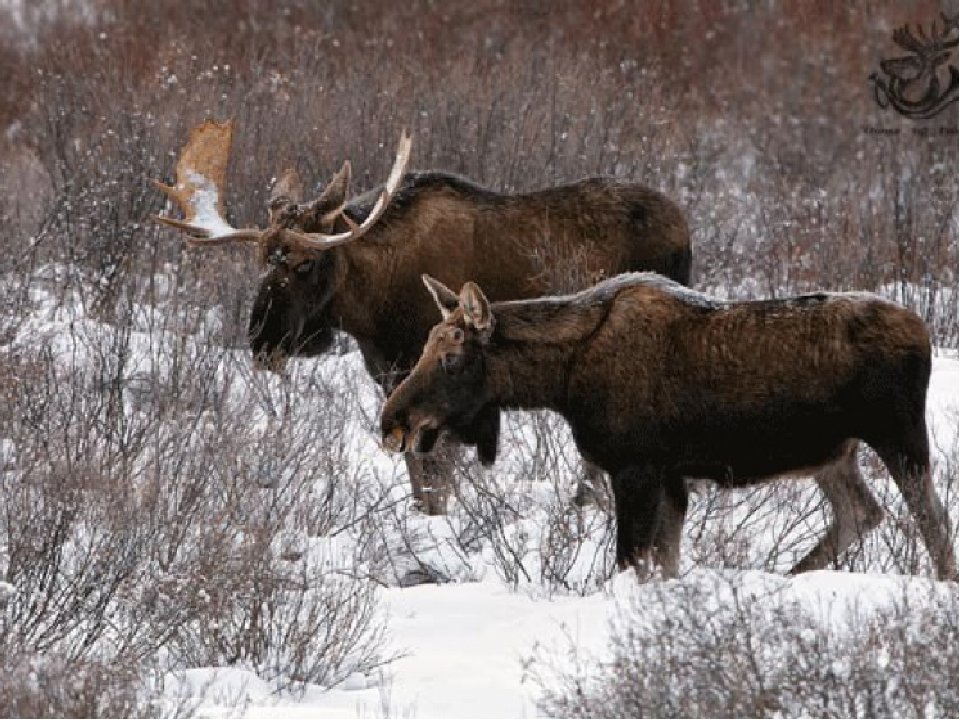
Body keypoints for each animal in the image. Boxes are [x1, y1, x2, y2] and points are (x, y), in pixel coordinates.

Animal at [152, 120, 692, 514]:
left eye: (306, 262)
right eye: (261, 259)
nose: (263, 342)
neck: (370, 307)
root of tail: (684, 228)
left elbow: (434, 477)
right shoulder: (393, 379)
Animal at [380, 272, 959, 581]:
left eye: (452, 358)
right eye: (428, 346)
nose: (393, 423)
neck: (562, 380)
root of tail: (925, 331)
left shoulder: (635, 468)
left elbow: (627, 560)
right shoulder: (672, 478)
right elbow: (664, 561)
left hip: (899, 436)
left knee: (933, 523)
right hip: (834, 454)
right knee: (862, 511)